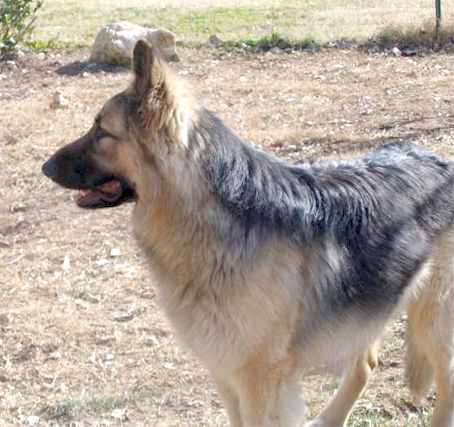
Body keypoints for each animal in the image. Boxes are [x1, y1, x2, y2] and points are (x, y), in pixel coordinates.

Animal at [42, 40, 454, 427]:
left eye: (101, 131)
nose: (44, 167)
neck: (209, 217)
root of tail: (438, 161)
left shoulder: (257, 378)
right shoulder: (224, 371)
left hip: (432, 324)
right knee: (366, 362)